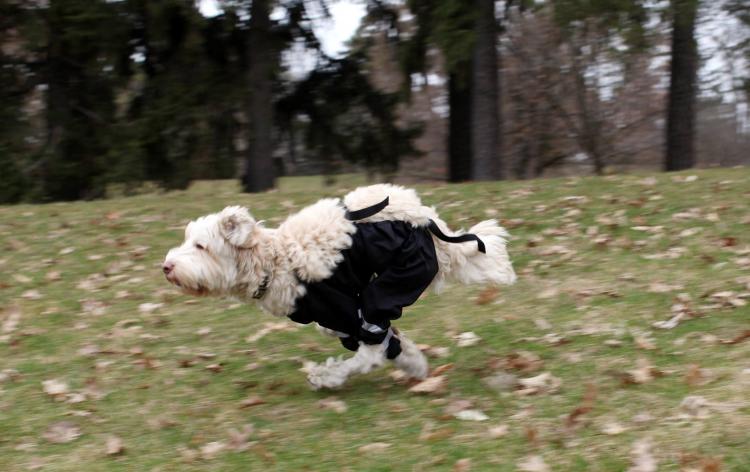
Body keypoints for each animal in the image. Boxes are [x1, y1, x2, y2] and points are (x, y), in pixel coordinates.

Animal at [164, 183, 516, 388]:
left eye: (200, 246)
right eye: (186, 239)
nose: (166, 267)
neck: (275, 261)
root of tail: (427, 225)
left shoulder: (343, 309)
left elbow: (373, 346)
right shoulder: (339, 316)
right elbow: (387, 341)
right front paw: (414, 363)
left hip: (393, 283)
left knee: (370, 346)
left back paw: (328, 376)